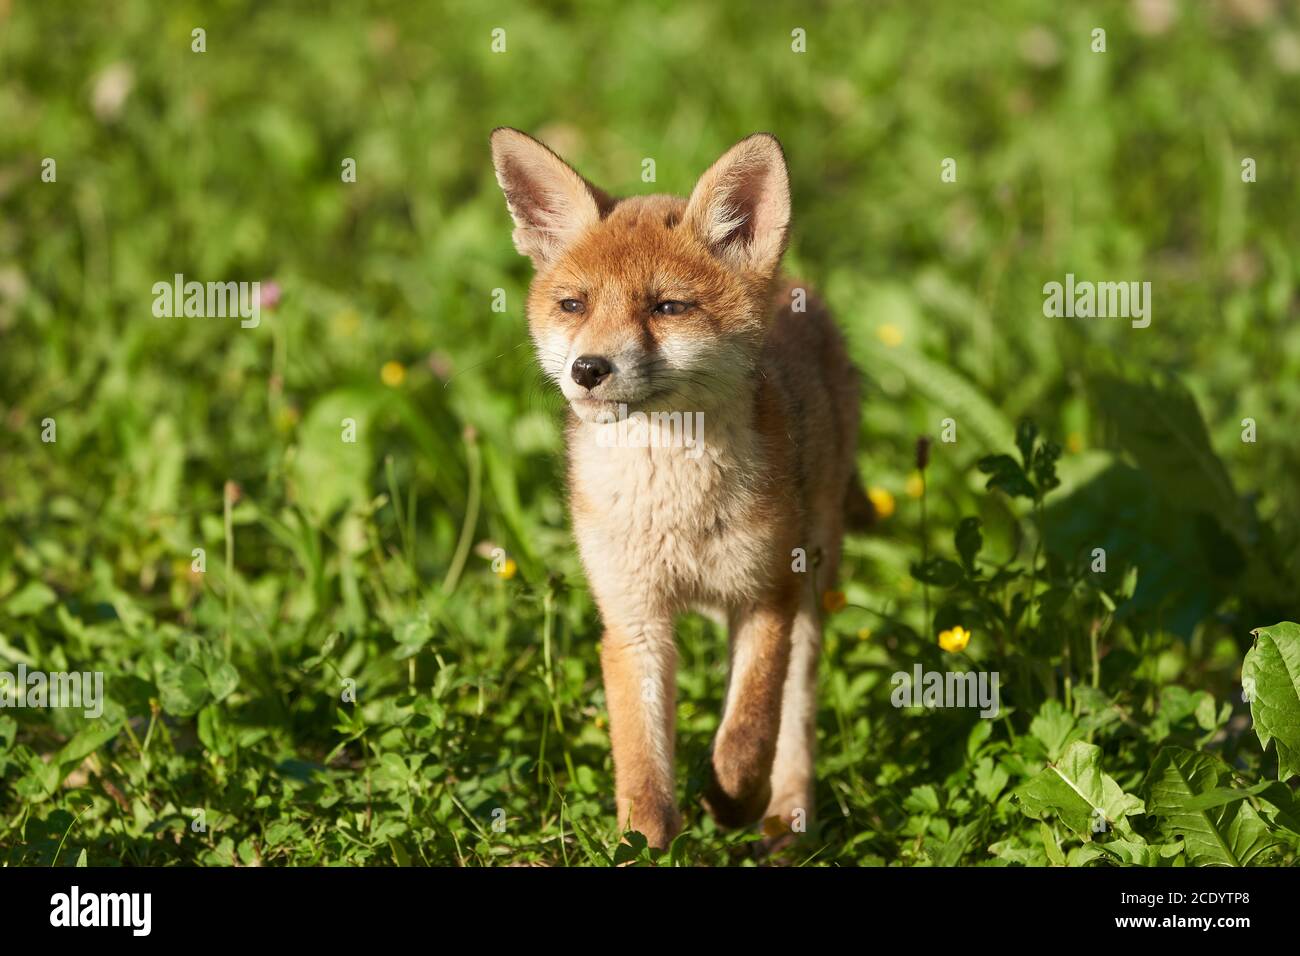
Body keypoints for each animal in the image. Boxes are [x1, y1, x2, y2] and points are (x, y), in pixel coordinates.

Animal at [491, 125, 868, 842]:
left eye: (667, 307)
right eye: (574, 305)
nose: (588, 369)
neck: (674, 510)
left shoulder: (766, 596)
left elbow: (747, 732)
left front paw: (729, 799)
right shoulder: (633, 617)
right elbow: (641, 764)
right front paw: (645, 843)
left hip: (812, 585)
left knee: (795, 719)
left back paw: (785, 818)